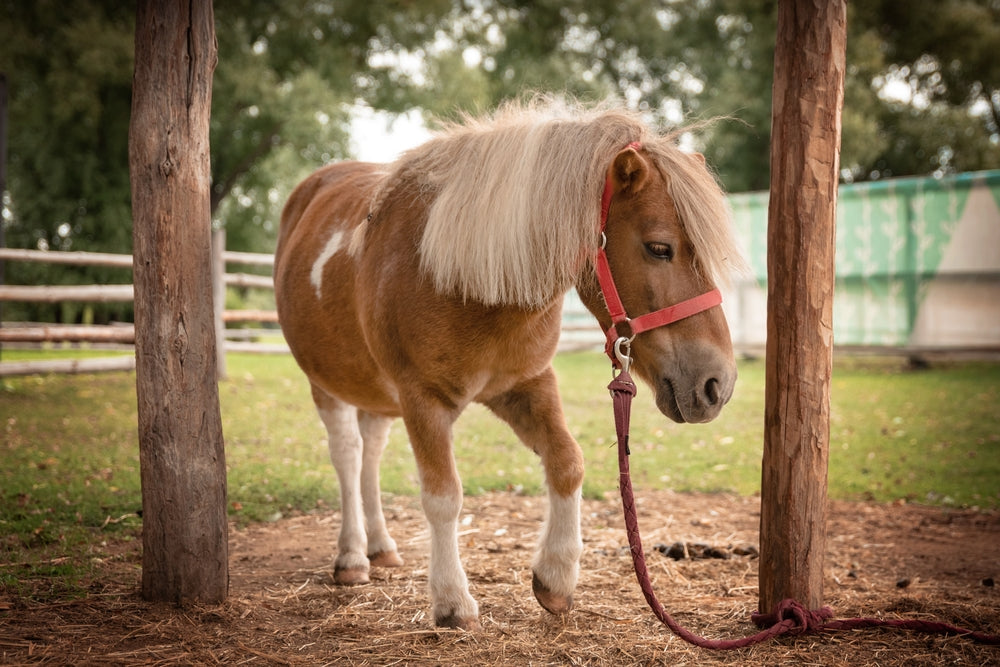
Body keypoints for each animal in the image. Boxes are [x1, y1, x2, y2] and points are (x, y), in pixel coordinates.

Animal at [273, 100, 745, 630]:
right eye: (659, 247)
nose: (718, 383)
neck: (458, 276)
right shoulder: (421, 400)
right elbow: (443, 496)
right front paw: (452, 601)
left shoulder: (527, 384)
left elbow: (568, 463)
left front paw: (556, 576)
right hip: (326, 383)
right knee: (348, 455)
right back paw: (353, 555)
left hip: (376, 392)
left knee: (371, 451)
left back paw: (379, 547)